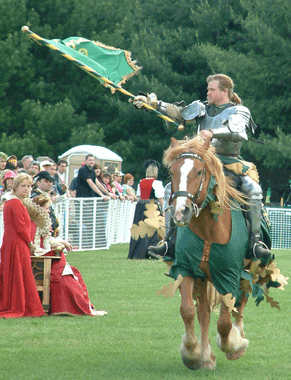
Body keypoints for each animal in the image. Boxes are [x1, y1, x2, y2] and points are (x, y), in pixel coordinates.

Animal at [162, 135, 253, 370]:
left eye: (199, 172)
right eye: (172, 173)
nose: (180, 212)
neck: (209, 230)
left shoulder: (229, 276)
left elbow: (224, 322)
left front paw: (233, 346)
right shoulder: (186, 269)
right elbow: (188, 311)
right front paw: (193, 354)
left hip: (249, 271)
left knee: (240, 305)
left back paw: (238, 338)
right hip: (204, 279)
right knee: (203, 314)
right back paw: (206, 356)